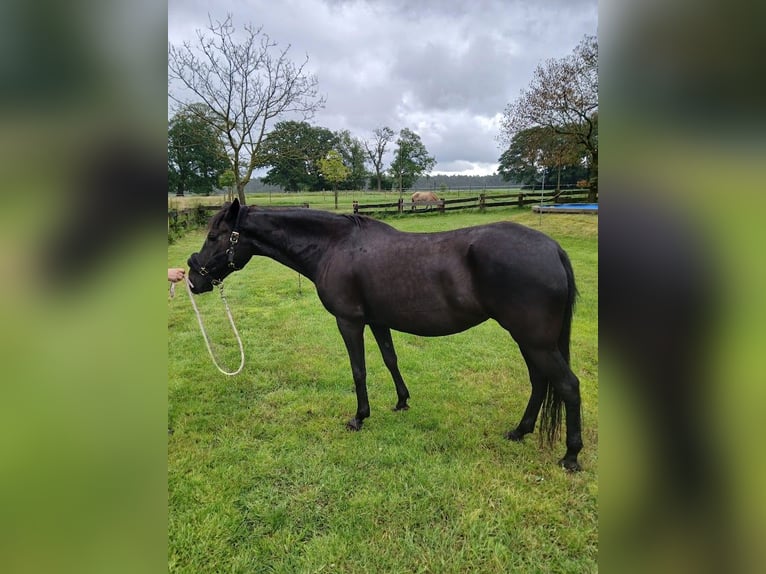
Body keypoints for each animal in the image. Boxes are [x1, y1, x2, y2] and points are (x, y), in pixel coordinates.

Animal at [189, 200, 584, 470]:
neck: (335, 246)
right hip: (529, 340)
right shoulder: (378, 321)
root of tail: (553, 249)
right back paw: (520, 431)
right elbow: (390, 359)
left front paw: (359, 417)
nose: (193, 280)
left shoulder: (349, 322)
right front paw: (401, 401)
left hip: (535, 340)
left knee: (567, 385)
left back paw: (570, 455)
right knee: (539, 382)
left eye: (213, 236)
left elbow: (359, 370)